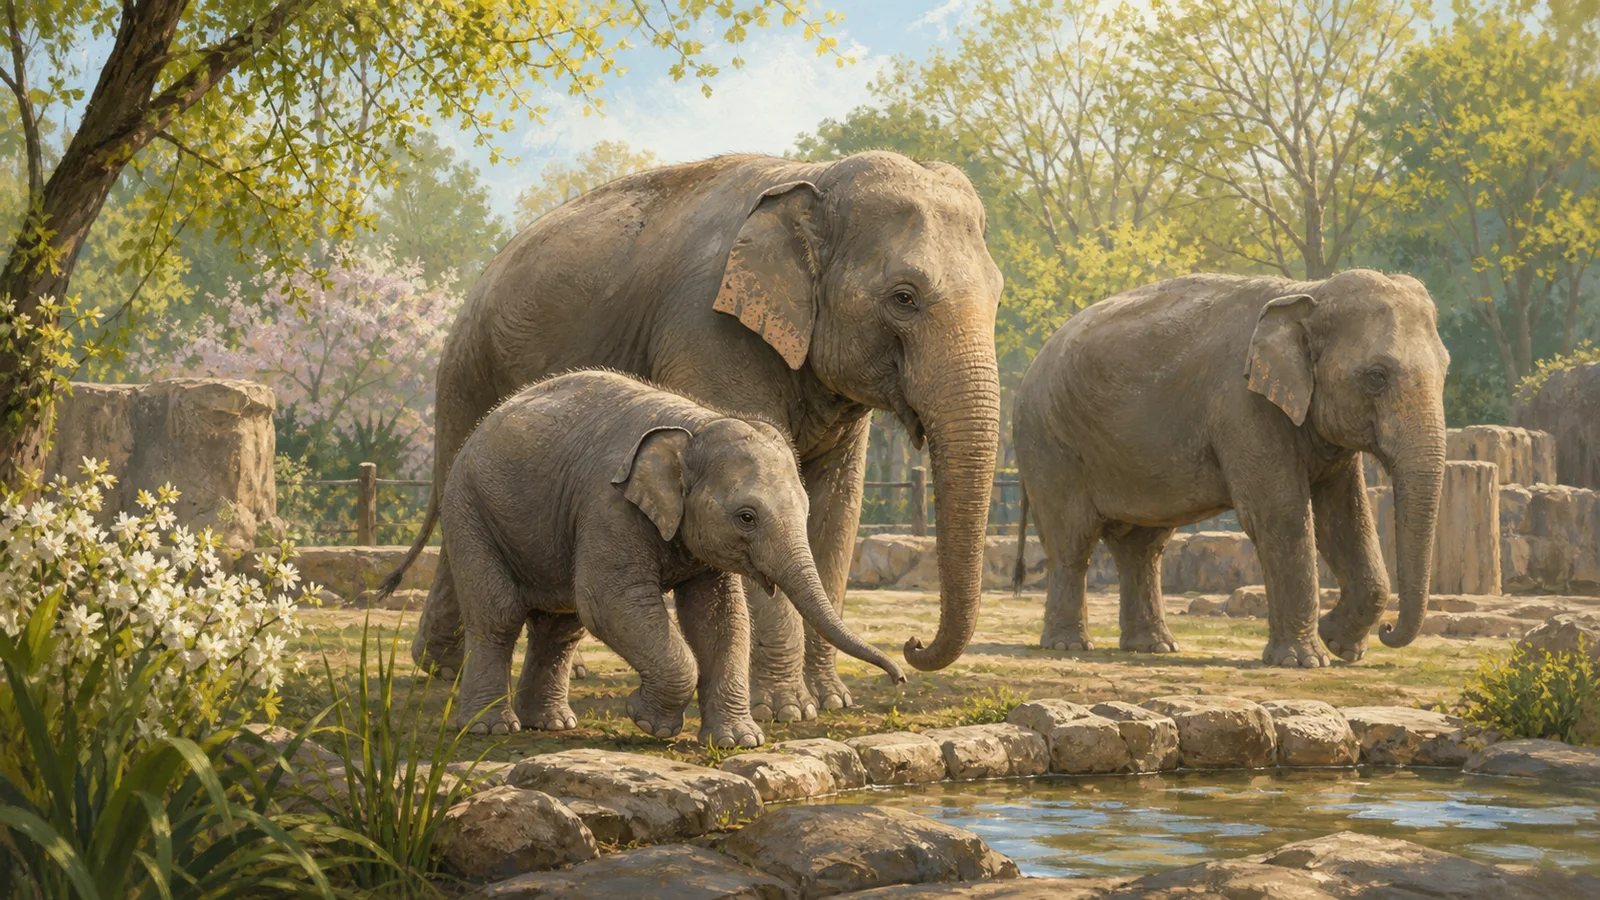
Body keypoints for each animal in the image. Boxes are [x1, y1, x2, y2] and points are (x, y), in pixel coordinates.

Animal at [440, 370, 905, 745]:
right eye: (747, 517)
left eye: (805, 510)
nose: (900, 674)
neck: (697, 425)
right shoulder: (608, 506)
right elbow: (611, 602)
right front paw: (649, 720)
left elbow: (720, 617)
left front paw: (738, 741)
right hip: (468, 510)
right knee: (498, 615)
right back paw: (492, 729)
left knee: (561, 626)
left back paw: (553, 724)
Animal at [1010, 270, 1449, 667]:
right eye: (1376, 377)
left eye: (1445, 371)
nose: (1388, 630)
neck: (1310, 290)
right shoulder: (1243, 404)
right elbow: (1280, 513)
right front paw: (1305, 660)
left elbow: (1346, 521)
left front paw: (1340, 645)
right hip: (1049, 441)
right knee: (1072, 540)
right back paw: (1068, 645)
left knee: (1142, 546)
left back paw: (1154, 647)